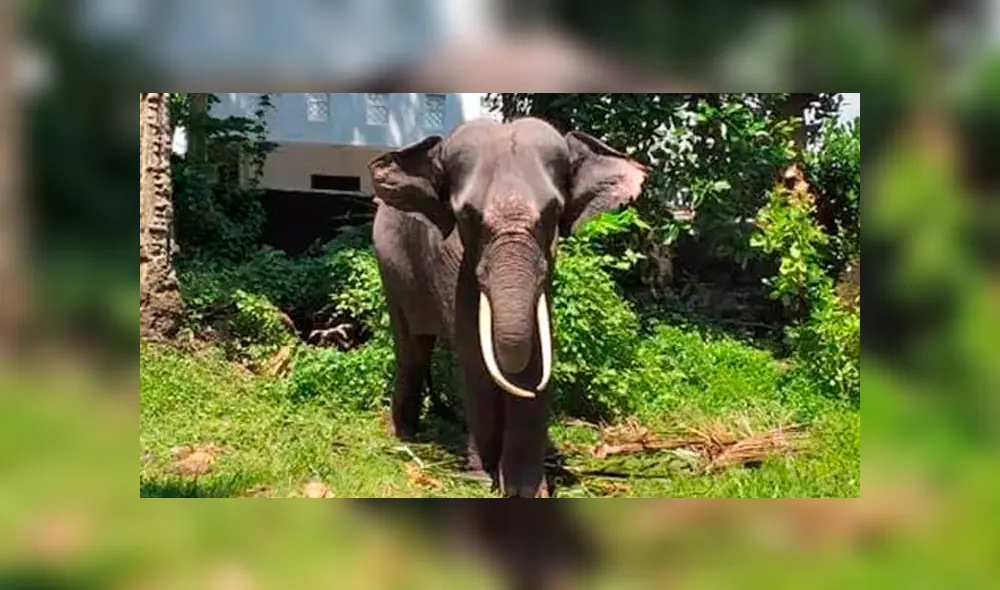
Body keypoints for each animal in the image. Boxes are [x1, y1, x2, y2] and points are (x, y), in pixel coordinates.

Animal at [368, 117, 647, 497]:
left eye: (553, 213)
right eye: (467, 215)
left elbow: (536, 353)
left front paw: (525, 489)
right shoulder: (452, 260)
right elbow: (474, 354)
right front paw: (483, 476)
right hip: (389, 264)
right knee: (412, 349)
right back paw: (407, 436)